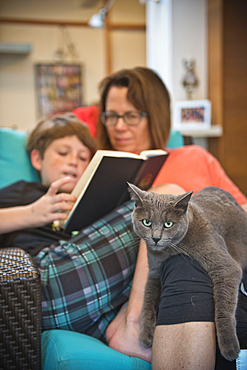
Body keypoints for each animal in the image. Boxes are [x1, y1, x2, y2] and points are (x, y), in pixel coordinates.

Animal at [127, 184, 247, 362]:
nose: (155, 238)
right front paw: (145, 334)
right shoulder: (154, 271)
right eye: (146, 222)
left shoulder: (225, 267)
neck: (171, 251)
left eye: (168, 224)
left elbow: (223, 309)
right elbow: (148, 300)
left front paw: (229, 346)